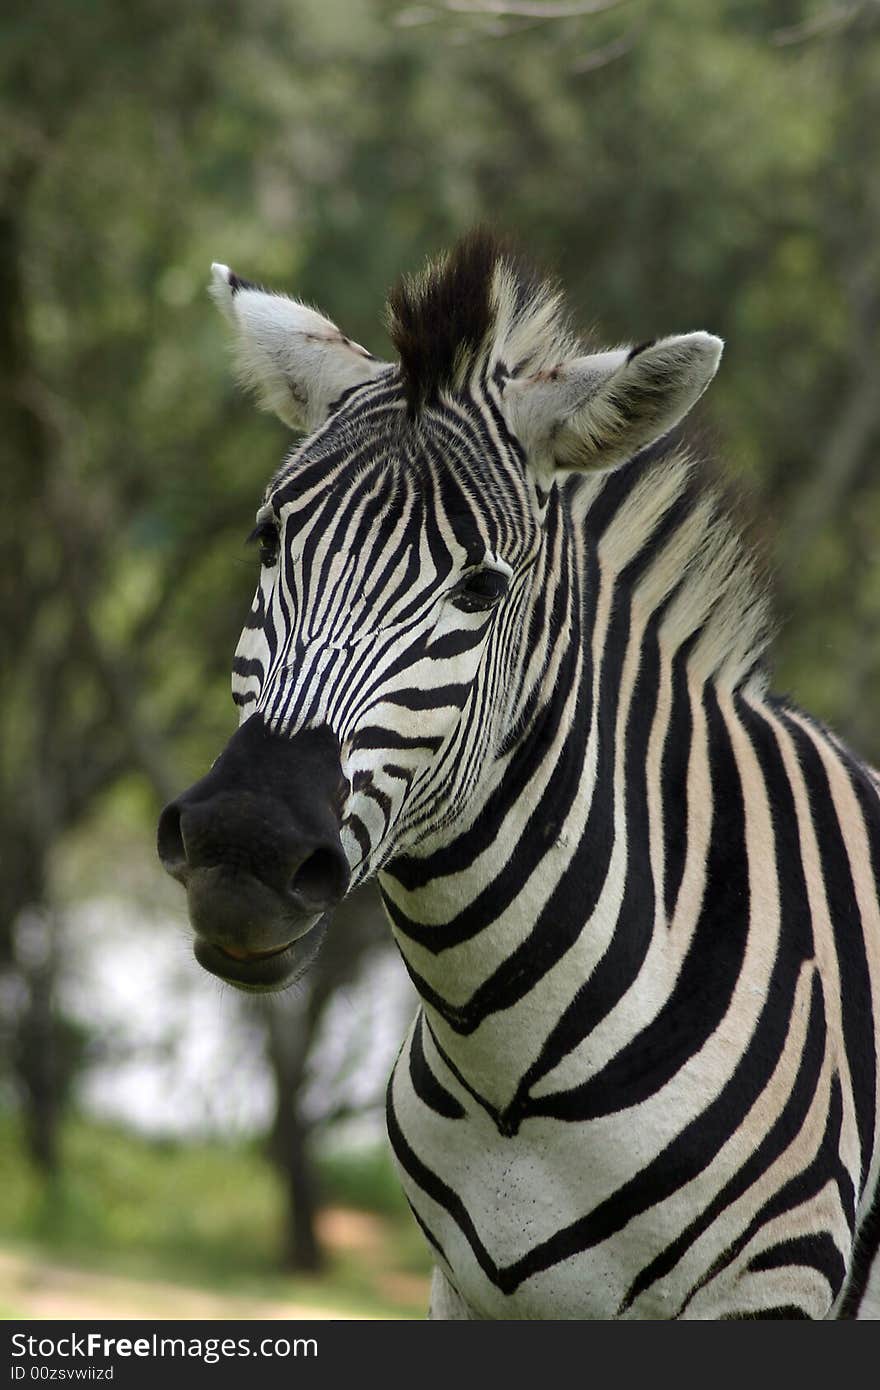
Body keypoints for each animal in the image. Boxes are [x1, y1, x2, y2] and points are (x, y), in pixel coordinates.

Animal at [156, 227, 878, 1312]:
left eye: (481, 587)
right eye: (268, 539)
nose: (243, 848)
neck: (513, 1075)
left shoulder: (774, 1277)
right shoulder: (462, 1287)